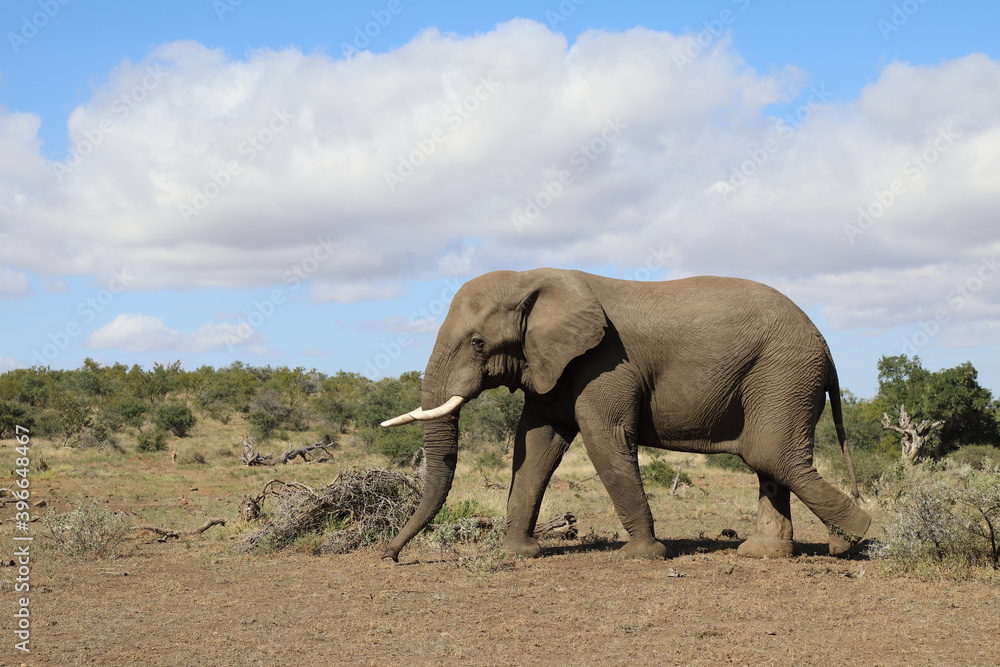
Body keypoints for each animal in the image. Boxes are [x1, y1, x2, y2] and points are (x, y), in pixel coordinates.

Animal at [380, 268, 870, 562]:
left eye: (478, 342)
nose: (391, 556)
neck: (534, 278)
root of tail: (825, 345)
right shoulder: (553, 364)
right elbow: (535, 445)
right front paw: (519, 553)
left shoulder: (604, 362)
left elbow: (605, 439)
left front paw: (642, 557)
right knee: (767, 462)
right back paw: (763, 554)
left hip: (783, 373)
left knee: (772, 455)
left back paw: (851, 539)